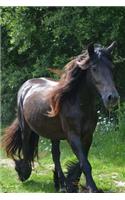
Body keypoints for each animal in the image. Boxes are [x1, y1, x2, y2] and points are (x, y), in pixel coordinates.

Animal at [2, 41, 118, 192]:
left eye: (112, 67)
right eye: (94, 68)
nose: (112, 98)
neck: (78, 104)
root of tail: (27, 85)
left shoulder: (88, 136)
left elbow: (82, 162)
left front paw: (72, 182)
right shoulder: (73, 136)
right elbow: (85, 164)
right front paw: (92, 188)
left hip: (54, 135)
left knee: (55, 155)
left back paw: (60, 183)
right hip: (26, 128)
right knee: (27, 147)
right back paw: (25, 172)